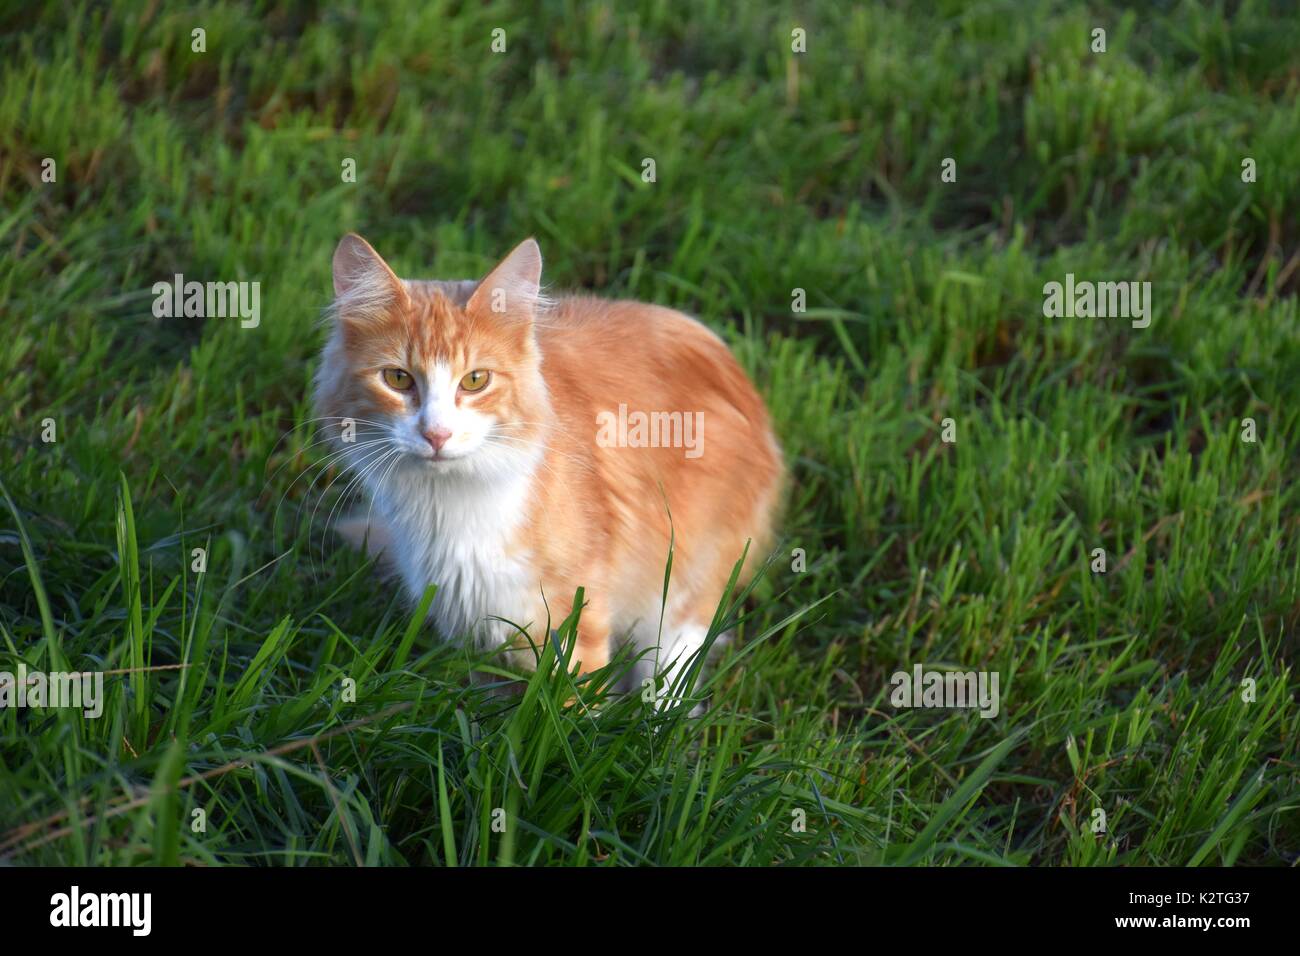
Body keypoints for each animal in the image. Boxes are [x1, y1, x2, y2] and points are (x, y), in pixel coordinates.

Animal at [314, 235, 780, 702]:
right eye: (397, 378)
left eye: (475, 380)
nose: (437, 434)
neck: (450, 504)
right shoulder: (472, 626)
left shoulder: (575, 614)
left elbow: (569, 703)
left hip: (684, 581)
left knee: (673, 670)